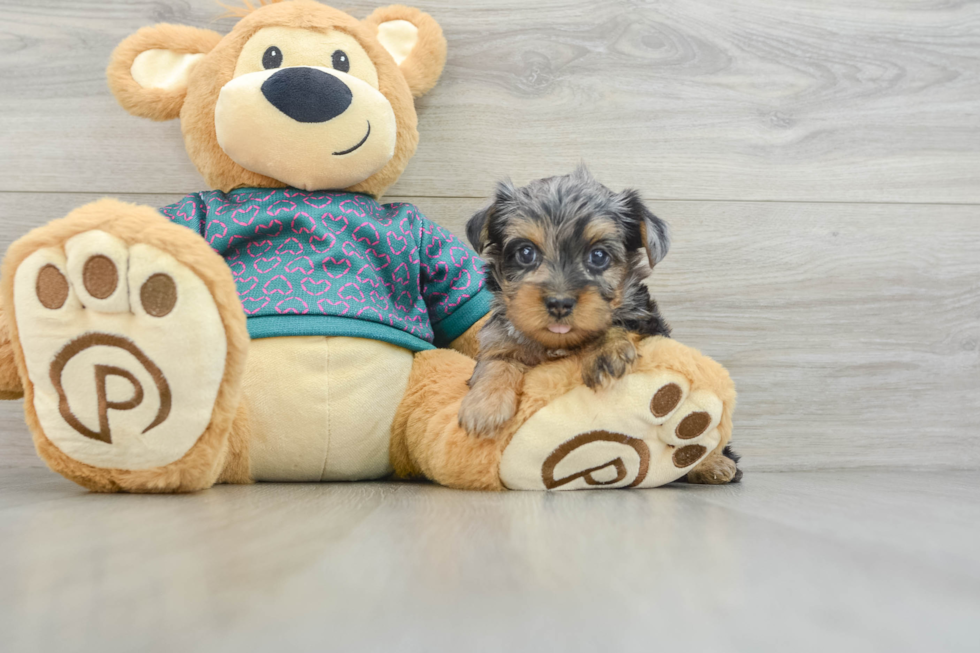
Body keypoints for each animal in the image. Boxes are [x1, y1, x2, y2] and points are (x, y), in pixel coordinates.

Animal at [458, 166, 668, 436]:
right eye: (526, 253)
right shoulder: (498, 337)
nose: (559, 303)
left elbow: (616, 324)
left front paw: (605, 351)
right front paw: (485, 404)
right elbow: (496, 360)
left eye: (598, 256)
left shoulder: (649, 322)